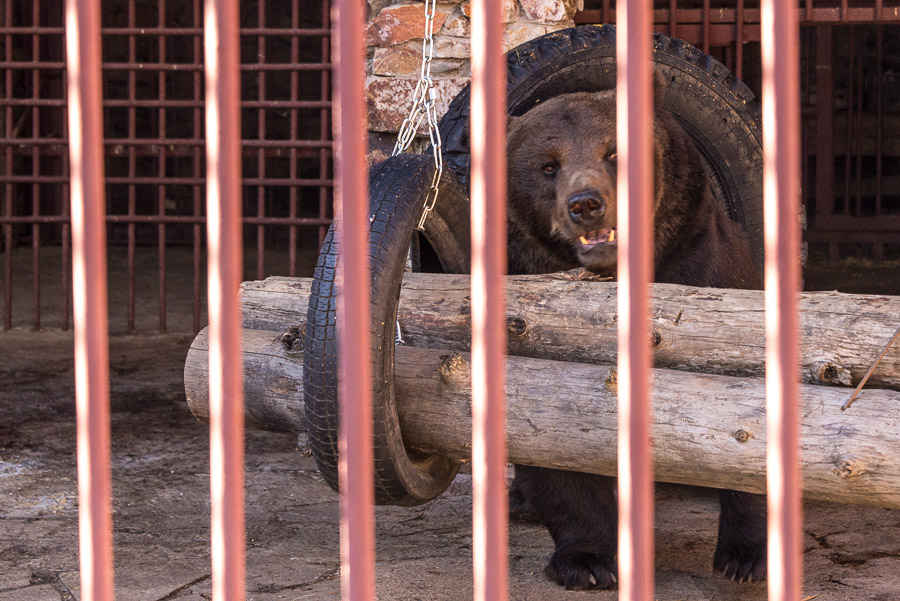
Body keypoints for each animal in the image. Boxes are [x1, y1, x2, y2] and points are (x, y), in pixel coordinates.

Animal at [506, 82, 768, 588]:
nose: (586, 204)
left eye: (613, 152)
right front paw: (588, 562)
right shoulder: (533, 319)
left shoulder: (704, 275)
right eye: (548, 165)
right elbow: (549, 440)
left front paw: (744, 557)